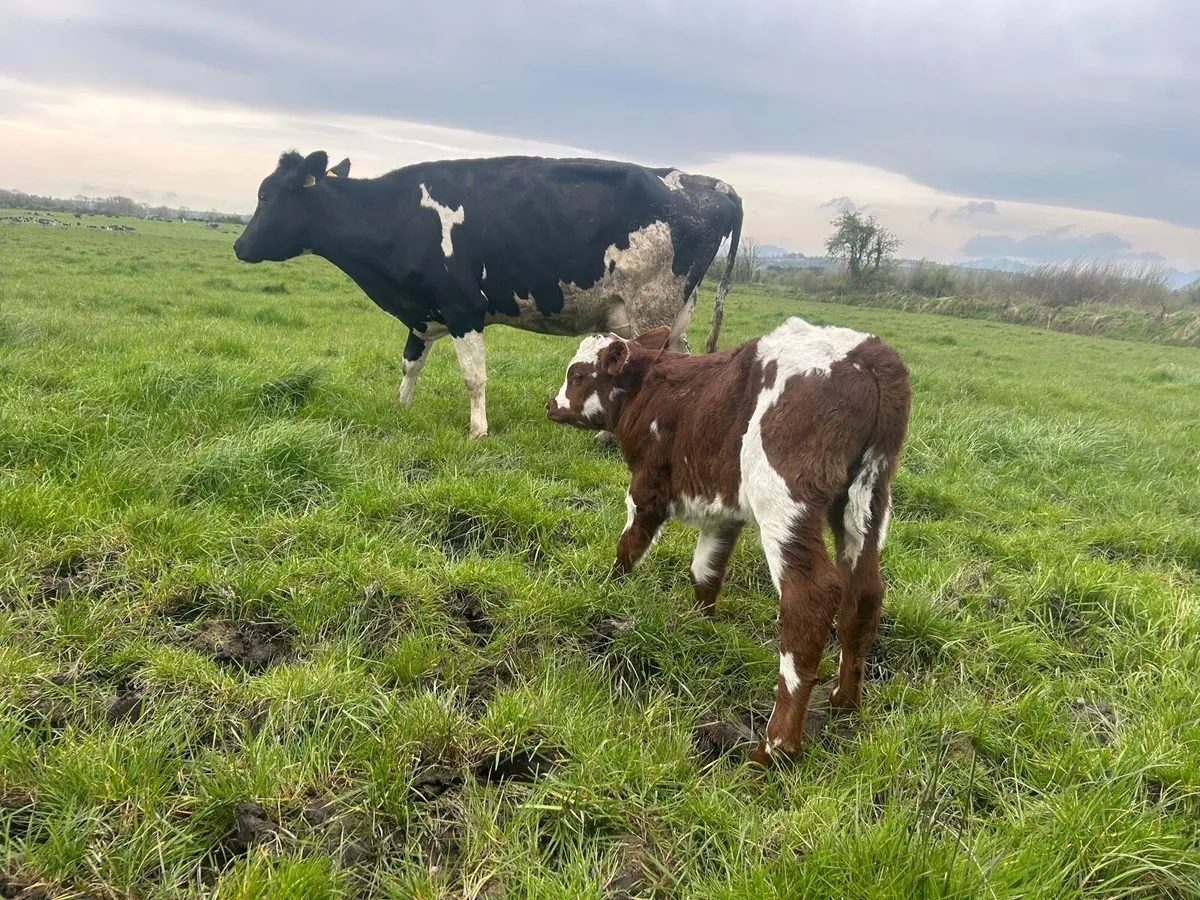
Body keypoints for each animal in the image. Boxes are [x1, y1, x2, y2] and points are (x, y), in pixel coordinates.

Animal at [233, 150, 743, 439]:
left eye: (265, 196)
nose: (239, 245)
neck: (396, 216)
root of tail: (710, 183)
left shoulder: (463, 309)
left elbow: (473, 377)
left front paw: (477, 432)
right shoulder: (424, 313)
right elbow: (410, 363)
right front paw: (400, 408)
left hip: (651, 308)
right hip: (676, 314)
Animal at [545, 318, 911, 764]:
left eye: (578, 375)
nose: (550, 405)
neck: (648, 390)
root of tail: (866, 355)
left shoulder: (648, 487)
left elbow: (629, 546)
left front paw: (607, 592)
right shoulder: (722, 509)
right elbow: (705, 571)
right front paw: (700, 627)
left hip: (783, 496)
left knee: (812, 596)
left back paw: (773, 749)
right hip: (869, 498)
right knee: (864, 593)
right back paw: (844, 703)